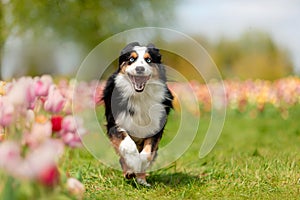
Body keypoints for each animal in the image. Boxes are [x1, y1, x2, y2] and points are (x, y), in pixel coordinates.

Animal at [103, 42, 173, 186]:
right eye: (131, 59)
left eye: (149, 60)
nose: (140, 69)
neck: (140, 96)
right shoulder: (114, 123)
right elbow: (128, 144)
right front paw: (133, 164)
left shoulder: (156, 127)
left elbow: (147, 154)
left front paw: (140, 171)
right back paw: (129, 172)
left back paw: (141, 179)